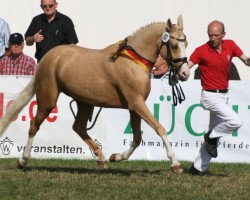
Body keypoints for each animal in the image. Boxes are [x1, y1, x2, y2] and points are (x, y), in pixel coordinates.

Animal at [0, 15, 189, 173]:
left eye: (186, 44)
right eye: (173, 45)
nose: (185, 73)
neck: (133, 61)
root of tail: (48, 57)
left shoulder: (134, 106)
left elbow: (137, 138)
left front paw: (116, 157)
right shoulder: (136, 103)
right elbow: (159, 128)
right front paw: (175, 163)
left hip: (84, 102)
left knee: (78, 127)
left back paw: (102, 158)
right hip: (48, 100)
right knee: (34, 124)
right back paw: (22, 160)